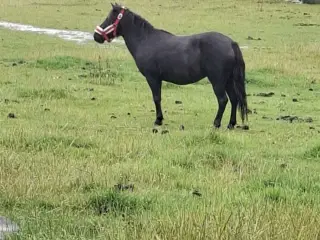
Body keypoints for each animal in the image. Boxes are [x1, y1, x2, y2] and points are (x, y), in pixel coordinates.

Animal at [94, 3, 249, 129]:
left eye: (110, 18)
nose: (96, 36)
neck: (145, 40)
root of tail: (231, 43)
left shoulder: (153, 78)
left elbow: (156, 97)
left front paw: (158, 120)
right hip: (228, 81)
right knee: (234, 99)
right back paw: (231, 124)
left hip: (217, 81)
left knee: (223, 100)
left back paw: (216, 123)